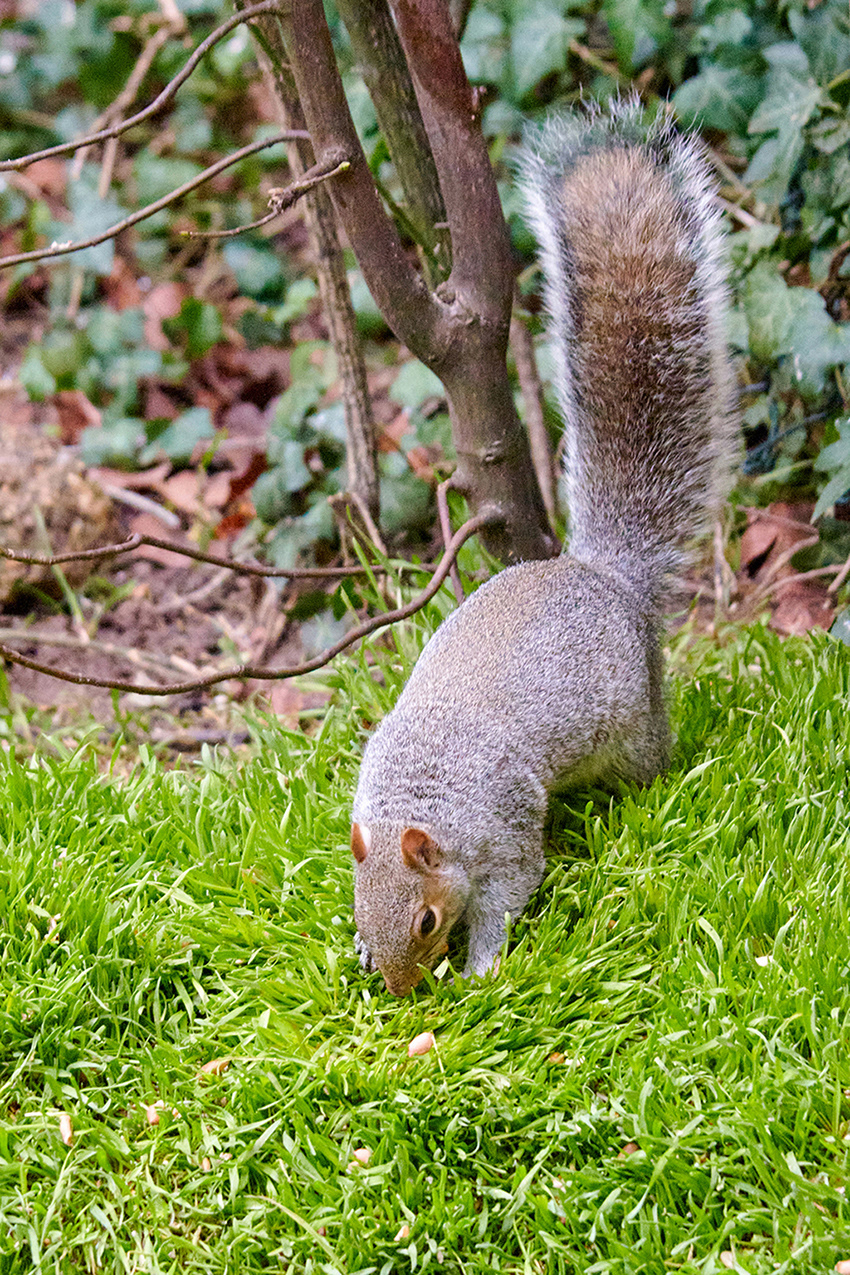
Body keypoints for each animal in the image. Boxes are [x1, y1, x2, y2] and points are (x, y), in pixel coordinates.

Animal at [349, 100, 738, 997]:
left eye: (427, 921)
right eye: (359, 909)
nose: (400, 989)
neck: (424, 791)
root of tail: (605, 575)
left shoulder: (508, 825)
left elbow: (511, 888)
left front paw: (483, 966)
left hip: (630, 726)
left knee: (648, 759)